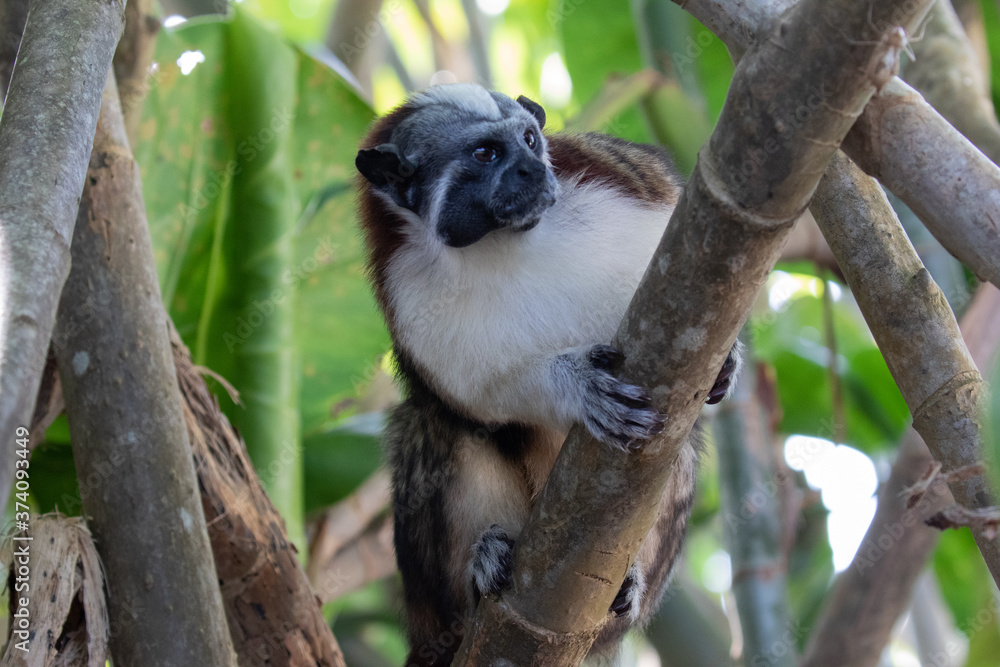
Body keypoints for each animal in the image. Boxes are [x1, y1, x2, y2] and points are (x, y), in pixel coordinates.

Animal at [355, 83, 740, 666]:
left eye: (531, 140)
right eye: (486, 153)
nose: (533, 169)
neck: (502, 243)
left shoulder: (623, 177)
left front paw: (728, 362)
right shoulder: (407, 293)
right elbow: (478, 398)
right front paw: (574, 384)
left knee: (675, 449)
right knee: (434, 427)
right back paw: (480, 570)